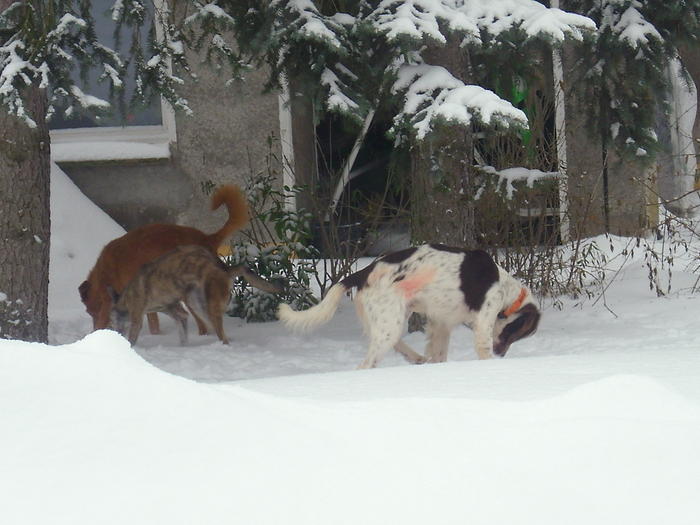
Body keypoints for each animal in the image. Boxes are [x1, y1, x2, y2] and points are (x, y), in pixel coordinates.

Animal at [80, 184, 249, 332]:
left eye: (91, 312)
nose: (95, 331)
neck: (107, 272)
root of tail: (207, 238)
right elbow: (153, 322)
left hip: (190, 294)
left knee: (204, 325)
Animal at [109, 245, 278, 346]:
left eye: (111, 323)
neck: (126, 298)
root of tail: (224, 267)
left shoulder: (137, 319)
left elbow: (132, 338)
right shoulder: (177, 313)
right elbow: (183, 335)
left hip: (207, 306)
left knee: (222, 335)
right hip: (196, 304)